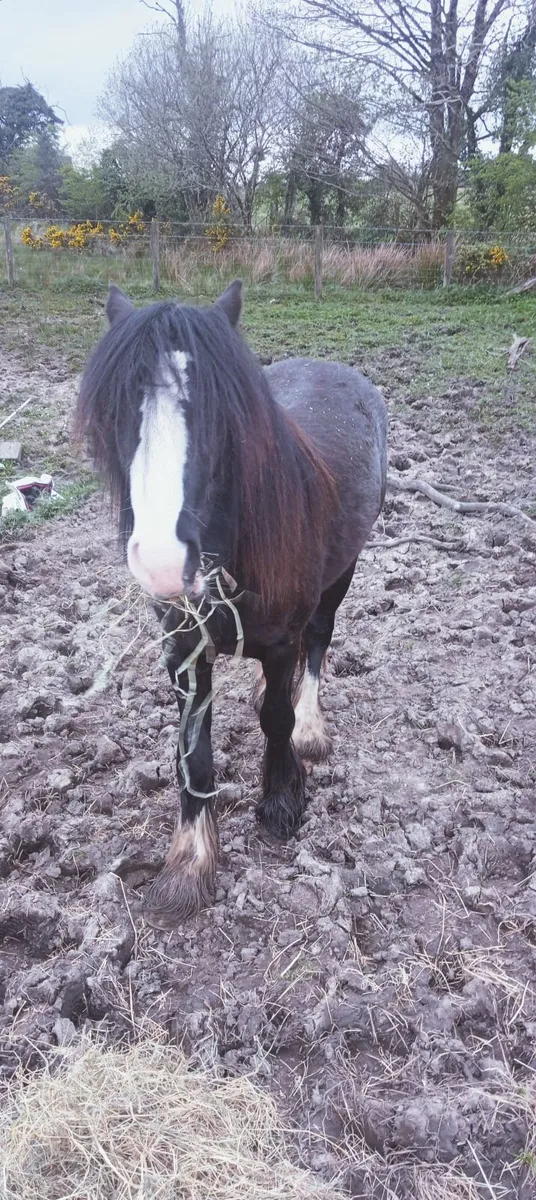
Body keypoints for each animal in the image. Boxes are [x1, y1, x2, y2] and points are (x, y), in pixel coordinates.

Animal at [76, 280, 388, 930]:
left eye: (221, 418)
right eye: (116, 414)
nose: (164, 561)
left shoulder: (280, 640)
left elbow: (275, 718)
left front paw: (281, 800)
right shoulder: (183, 649)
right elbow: (193, 747)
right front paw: (190, 863)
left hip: (342, 573)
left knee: (319, 642)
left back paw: (310, 725)